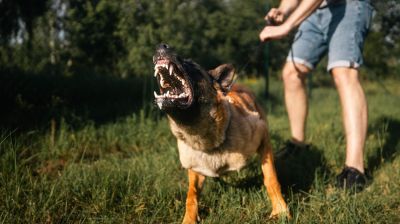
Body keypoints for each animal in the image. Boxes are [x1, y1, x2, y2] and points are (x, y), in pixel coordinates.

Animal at [152, 43, 288, 222]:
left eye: (192, 65)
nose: (161, 46)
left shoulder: (263, 137)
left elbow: (270, 177)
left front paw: (280, 210)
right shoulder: (195, 170)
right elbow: (191, 195)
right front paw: (189, 219)